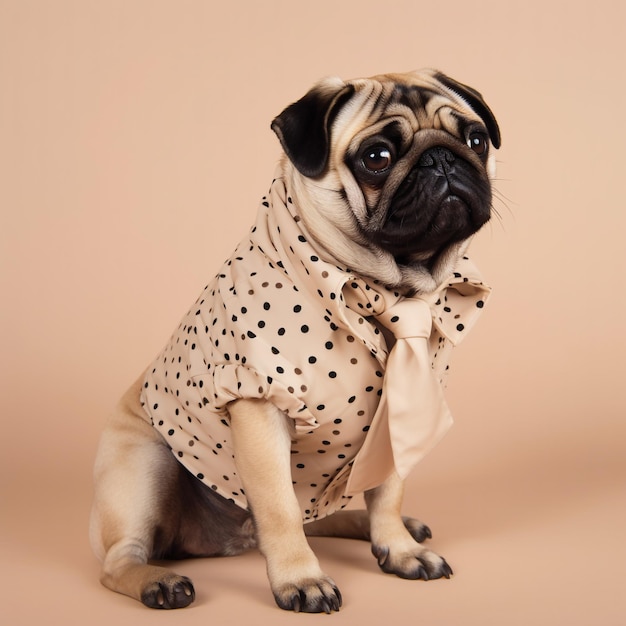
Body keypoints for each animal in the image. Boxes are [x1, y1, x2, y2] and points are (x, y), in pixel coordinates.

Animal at [89, 68, 498, 608]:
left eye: (476, 139)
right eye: (376, 157)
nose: (442, 157)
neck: (384, 293)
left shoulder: (400, 412)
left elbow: (389, 492)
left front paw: (399, 548)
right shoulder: (260, 407)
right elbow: (279, 509)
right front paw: (301, 580)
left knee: (325, 515)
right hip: (144, 466)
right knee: (120, 561)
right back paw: (159, 581)